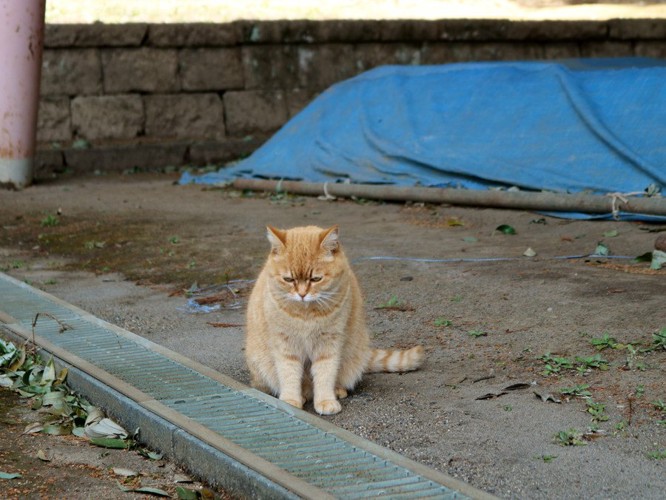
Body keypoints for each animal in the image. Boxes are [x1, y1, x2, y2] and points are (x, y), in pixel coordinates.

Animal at [245, 226, 426, 414]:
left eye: (316, 279)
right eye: (288, 279)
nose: (302, 294)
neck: (306, 314)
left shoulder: (328, 344)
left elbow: (325, 373)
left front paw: (326, 400)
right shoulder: (285, 345)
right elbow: (289, 374)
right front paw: (290, 400)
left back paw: (337, 390)